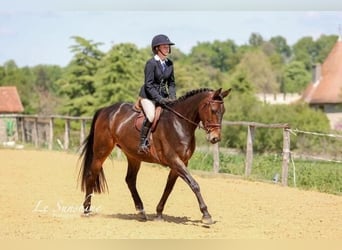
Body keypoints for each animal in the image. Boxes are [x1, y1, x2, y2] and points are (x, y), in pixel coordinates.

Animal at [79, 87, 231, 225]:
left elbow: (168, 188)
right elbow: (194, 184)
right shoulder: (174, 160)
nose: (215, 138)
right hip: (101, 151)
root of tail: (105, 110)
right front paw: (206, 215)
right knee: (92, 174)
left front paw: (159, 213)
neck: (179, 123)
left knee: (130, 180)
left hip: (133, 156)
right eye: (213, 110)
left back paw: (141, 212)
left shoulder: (181, 163)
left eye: (223, 111)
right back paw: (86, 210)